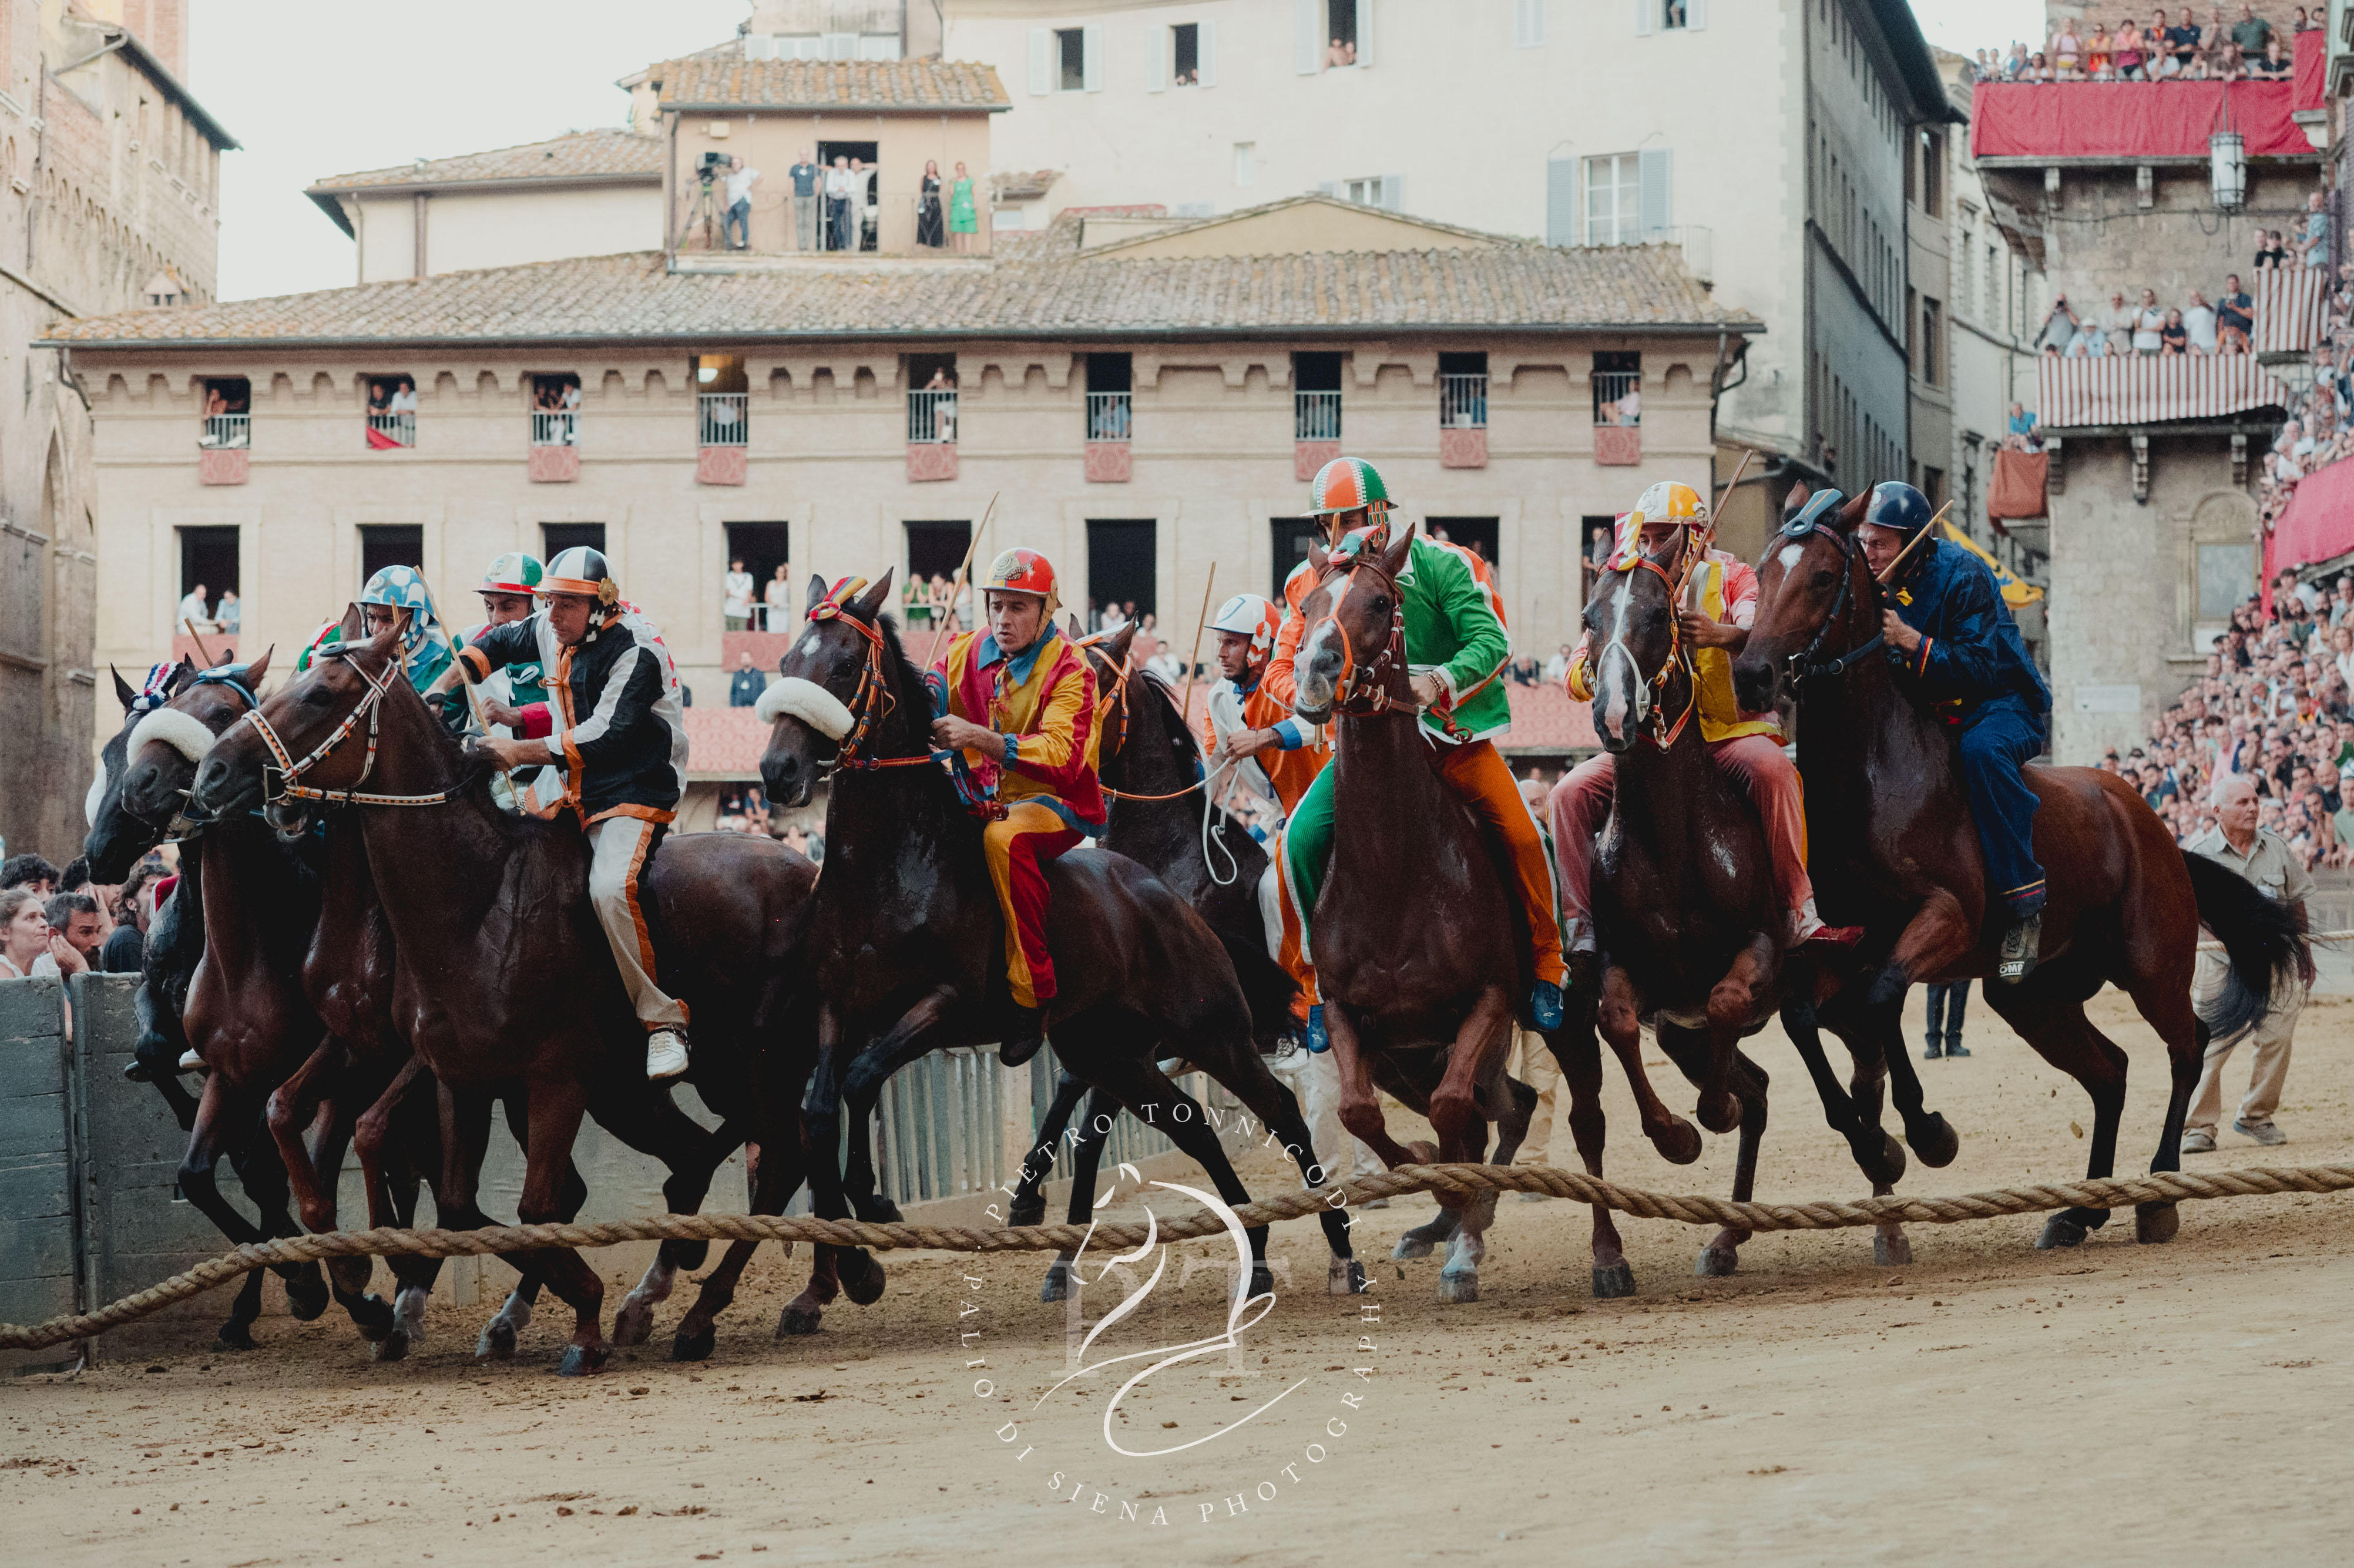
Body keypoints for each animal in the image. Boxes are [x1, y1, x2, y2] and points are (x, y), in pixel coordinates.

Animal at [183, 616, 814, 1375]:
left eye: (320, 694)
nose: (213, 773)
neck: (478, 900)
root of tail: (806, 867)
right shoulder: (459, 1074)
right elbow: (456, 1202)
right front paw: (378, 1281)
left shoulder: (552, 1078)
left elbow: (534, 1205)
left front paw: (580, 1323)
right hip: (644, 1088)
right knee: (704, 1155)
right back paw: (652, 1297)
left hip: (751, 1063)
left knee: (778, 1161)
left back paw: (699, 1313)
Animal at [753, 567, 1365, 1300]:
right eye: (788, 662)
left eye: (844, 664)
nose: (778, 771)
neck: (892, 867)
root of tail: (1170, 906)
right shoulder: (837, 1003)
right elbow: (821, 1107)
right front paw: (857, 1260)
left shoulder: (945, 1004)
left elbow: (862, 1079)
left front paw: (876, 1201)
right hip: (1113, 1047)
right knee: (1191, 1125)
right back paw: (1259, 1249)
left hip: (1211, 1031)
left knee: (1284, 1109)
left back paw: (1341, 1242)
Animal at [1742, 489, 2306, 1243]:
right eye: (1761, 569)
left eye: (1823, 576)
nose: (1751, 672)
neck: (1873, 775)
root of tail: (2153, 827)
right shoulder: (1840, 939)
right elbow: (1806, 1019)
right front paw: (1873, 1140)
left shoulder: (1944, 919)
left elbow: (1882, 996)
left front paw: (1925, 1131)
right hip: (2031, 995)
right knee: (2109, 1070)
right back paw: (2080, 1209)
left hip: (2152, 964)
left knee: (2189, 1045)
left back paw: (2157, 1189)